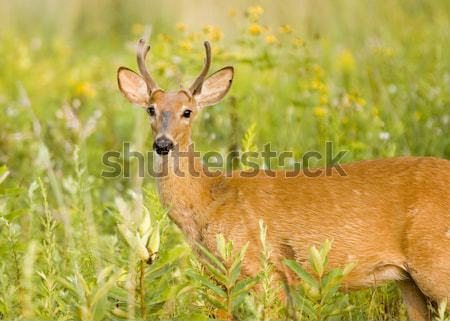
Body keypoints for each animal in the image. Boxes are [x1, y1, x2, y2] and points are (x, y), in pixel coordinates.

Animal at [118, 37, 448, 318]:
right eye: (151, 109)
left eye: (187, 111)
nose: (163, 144)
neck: (209, 199)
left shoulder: (265, 269)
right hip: (409, 280)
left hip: (434, 262)